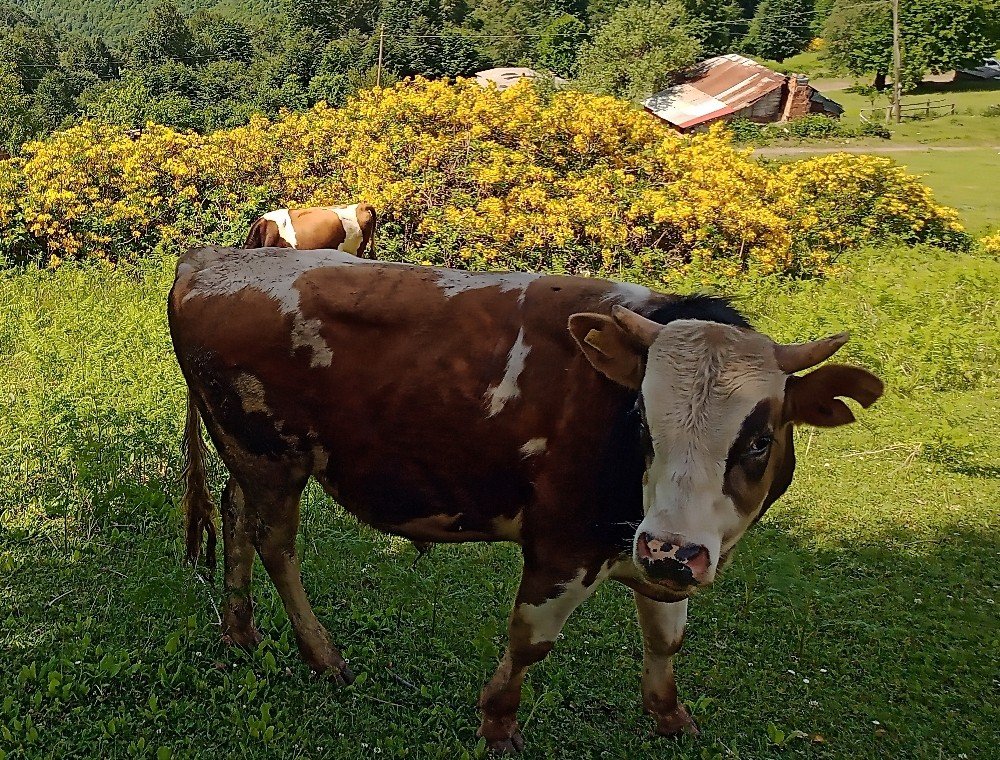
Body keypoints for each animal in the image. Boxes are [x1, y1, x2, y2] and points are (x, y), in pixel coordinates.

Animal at [170, 246, 884, 752]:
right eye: (643, 421)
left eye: (759, 440)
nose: (670, 550)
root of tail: (207, 260)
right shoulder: (562, 546)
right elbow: (531, 639)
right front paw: (498, 723)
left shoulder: (662, 553)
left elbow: (665, 637)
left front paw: (670, 715)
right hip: (271, 457)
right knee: (275, 544)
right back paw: (322, 655)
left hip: (246, 456)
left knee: (236, 517)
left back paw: (239, 629)